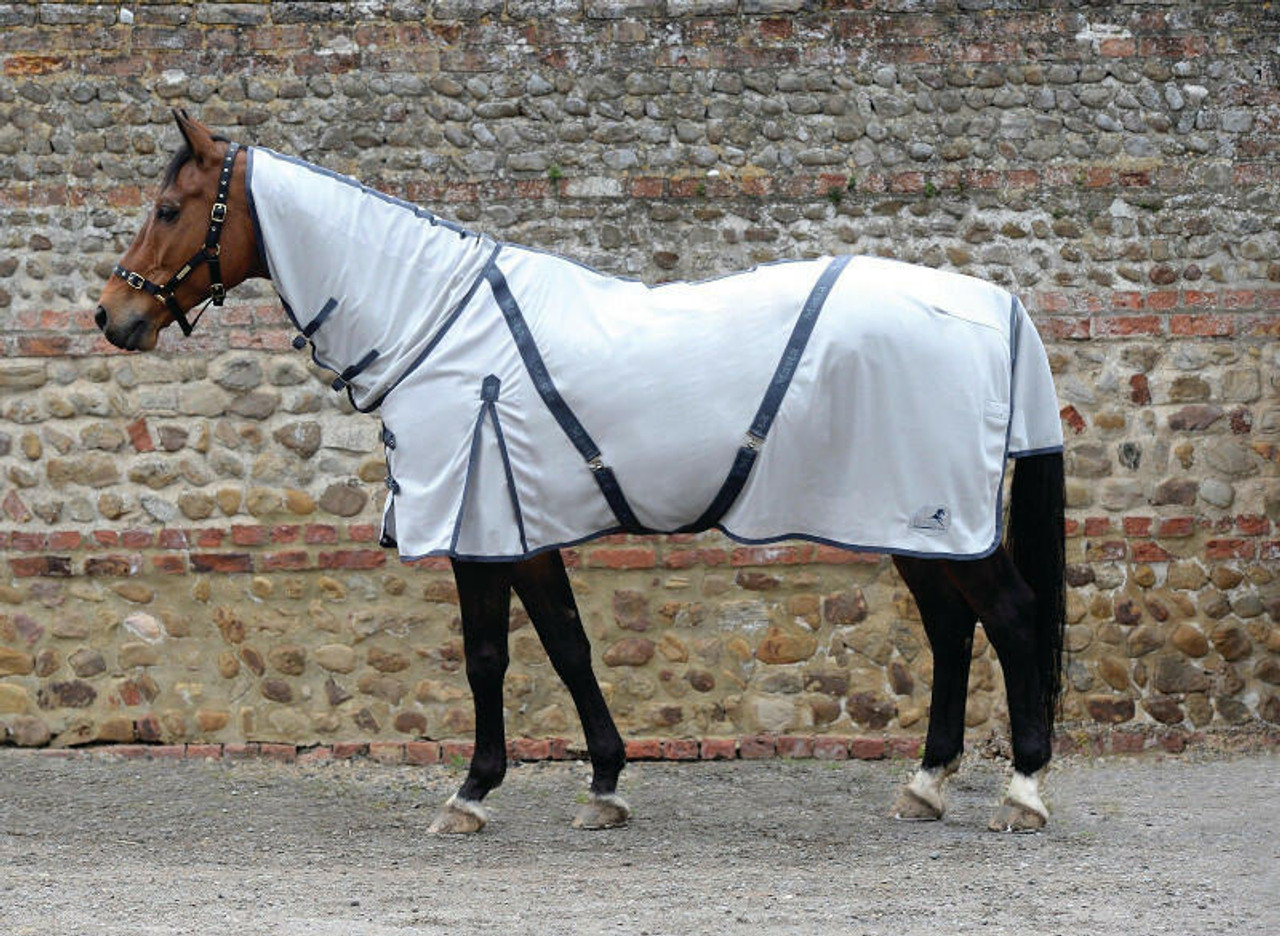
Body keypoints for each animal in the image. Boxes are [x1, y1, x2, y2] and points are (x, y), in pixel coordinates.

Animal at [95, 111, 1066, 834]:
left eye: (171, 206)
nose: (111, 316)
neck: (436, 322)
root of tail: (995, 304)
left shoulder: (480, 529)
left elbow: (487, 656)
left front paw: (471, 793)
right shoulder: (523, 529)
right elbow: (567, 643)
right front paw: (604, 784)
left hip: (936, 518)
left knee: (1012, 619)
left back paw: (1021, 792)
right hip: (905, 518)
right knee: (951, 630)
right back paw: (926, 785)